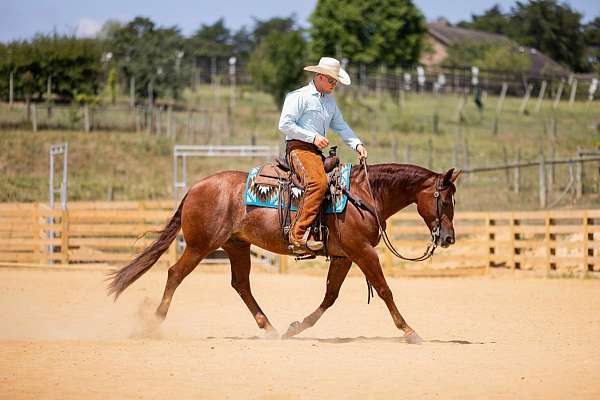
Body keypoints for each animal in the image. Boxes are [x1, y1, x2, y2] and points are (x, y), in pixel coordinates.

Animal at [109, 162, 460, 344]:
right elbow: (385, 290)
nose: (448, 238)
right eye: (445, 201)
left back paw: (270, 328)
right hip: (199, 246)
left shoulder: (345, 256)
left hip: (236, 245)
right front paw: (410, 331)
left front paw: (297, 327)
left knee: (241, 285)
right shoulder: (363, 253)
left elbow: (330, 296)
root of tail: (195, 188)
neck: (363, 195)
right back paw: (154, 323)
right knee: (175, 274)